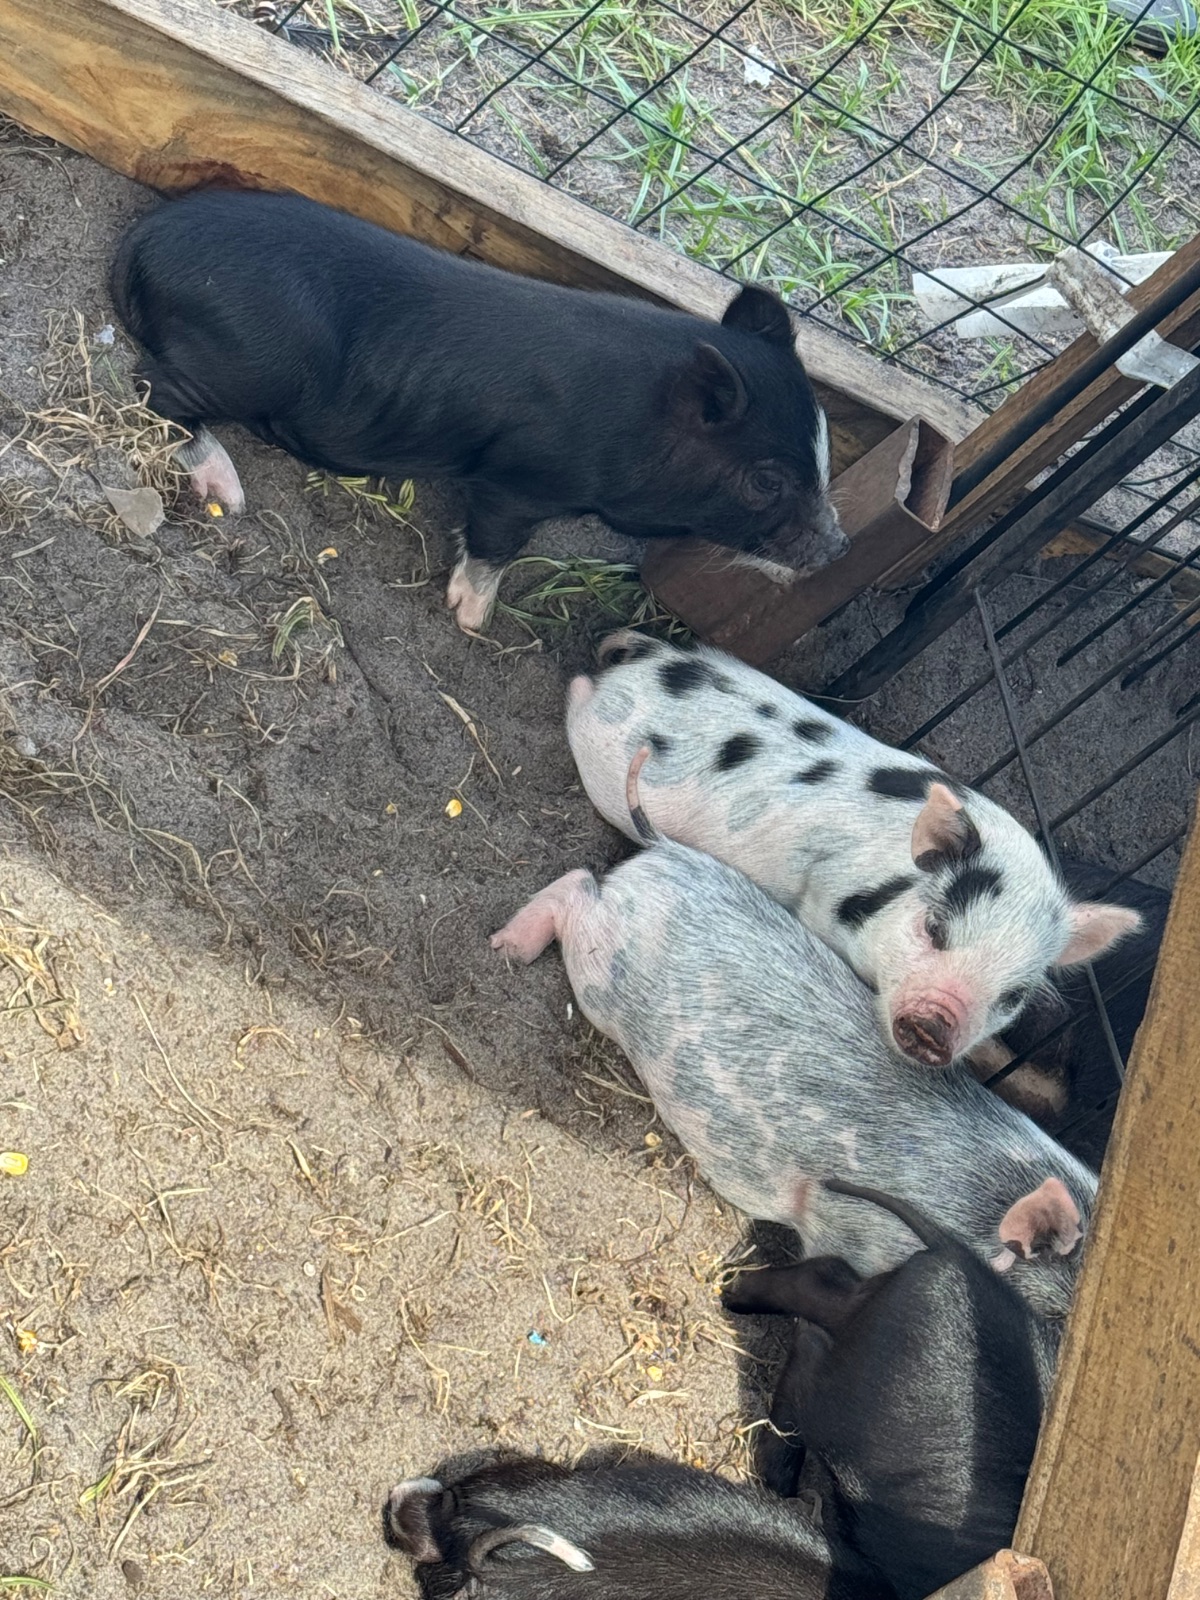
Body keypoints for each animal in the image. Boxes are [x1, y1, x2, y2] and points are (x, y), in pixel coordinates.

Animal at [110, 190, 848, 634]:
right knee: (152, 389)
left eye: (823, 454)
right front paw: (471, 620)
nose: (838, 546)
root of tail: (144, 237)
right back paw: (228, 491)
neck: (640, 423)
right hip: (241, 362)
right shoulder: (519, 478)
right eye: (766, 480)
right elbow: (497, 541)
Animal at [491, 826, 1097, 1322]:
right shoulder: (852, 1225)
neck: (980, 1210)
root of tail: (666, 854)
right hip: (600, 969)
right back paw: (507, 948)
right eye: (1059, 1319)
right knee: (576, 886)